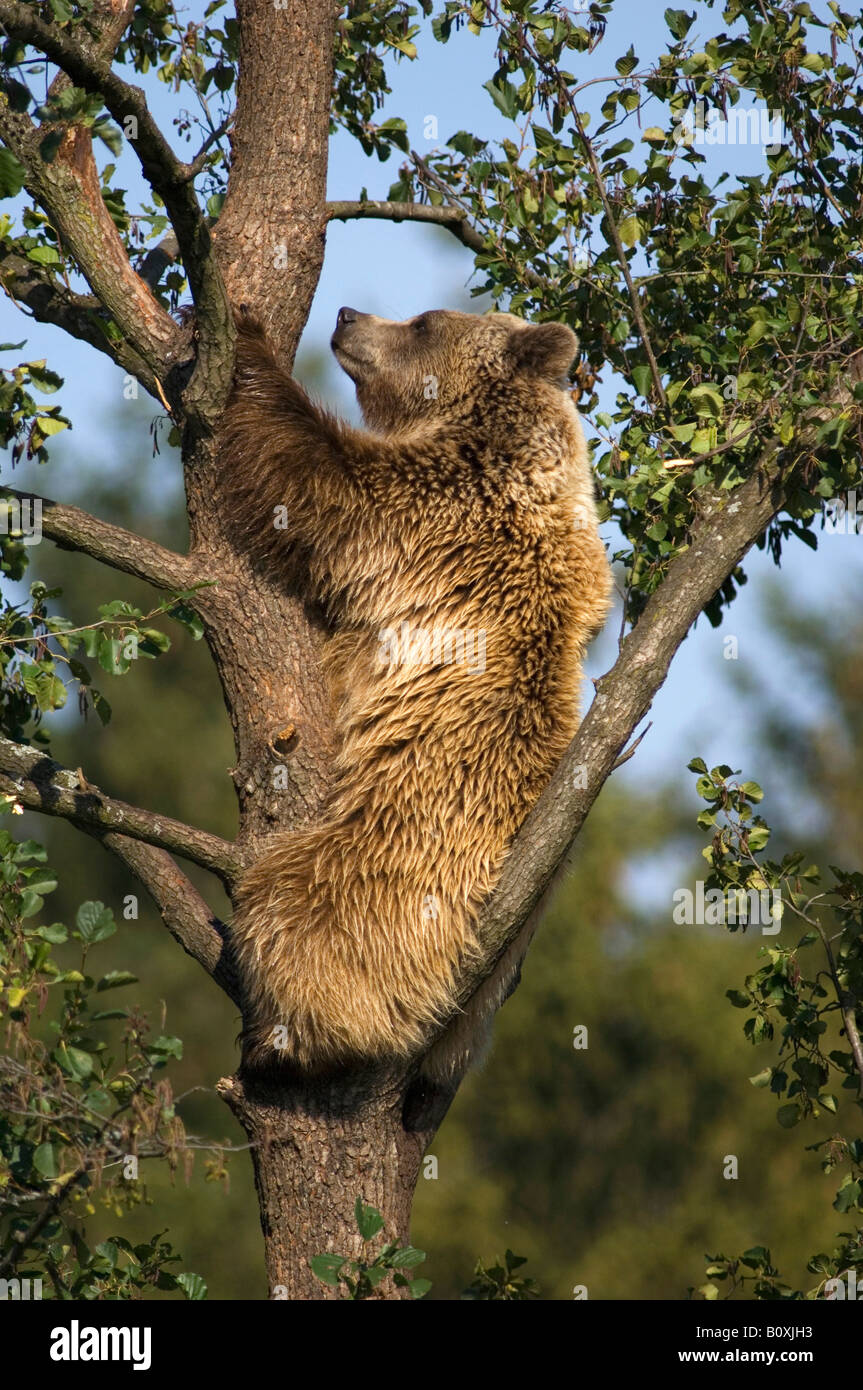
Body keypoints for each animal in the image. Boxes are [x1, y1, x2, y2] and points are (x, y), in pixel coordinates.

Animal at [222, 304, 611, 1084]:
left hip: (396, 858)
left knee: (295, 913)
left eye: (425, 321)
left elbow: (318, 476)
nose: (347, 314)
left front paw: (243, 339)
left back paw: (285, 1034)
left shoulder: (440, 505)